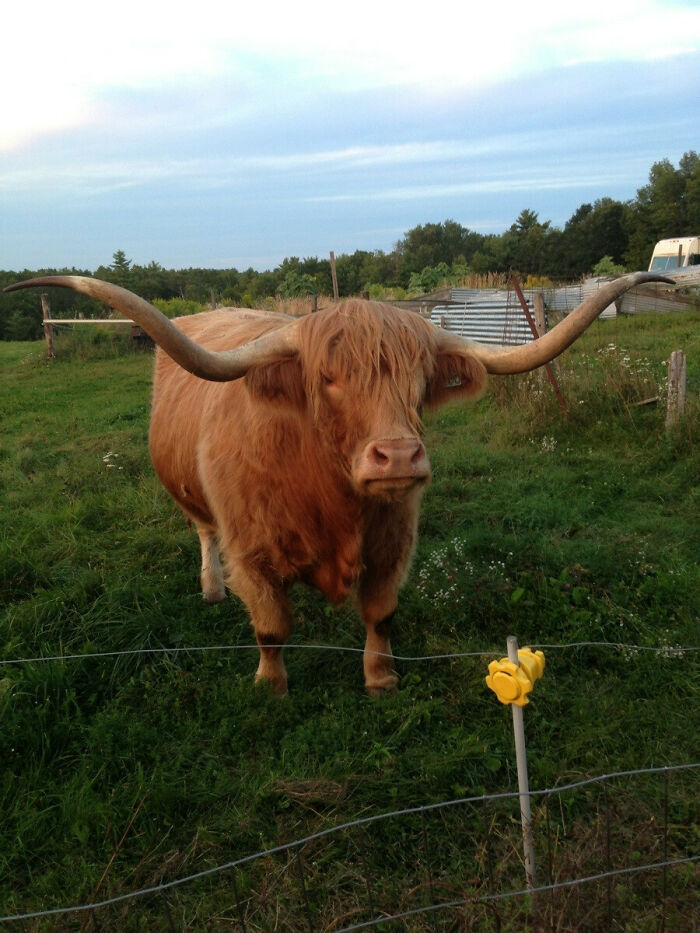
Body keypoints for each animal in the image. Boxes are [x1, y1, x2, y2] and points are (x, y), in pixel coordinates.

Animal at [6, 273, 671, 694]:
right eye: (327, 378)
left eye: (419, 377)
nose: (398, 456)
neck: (328, 498)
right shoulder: (251, 549)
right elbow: (271, 627)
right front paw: (270, 687)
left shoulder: (393, 542)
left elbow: (381, 614)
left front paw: (381, 678)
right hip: (189, 499)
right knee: (202, 533)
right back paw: (212, 588)